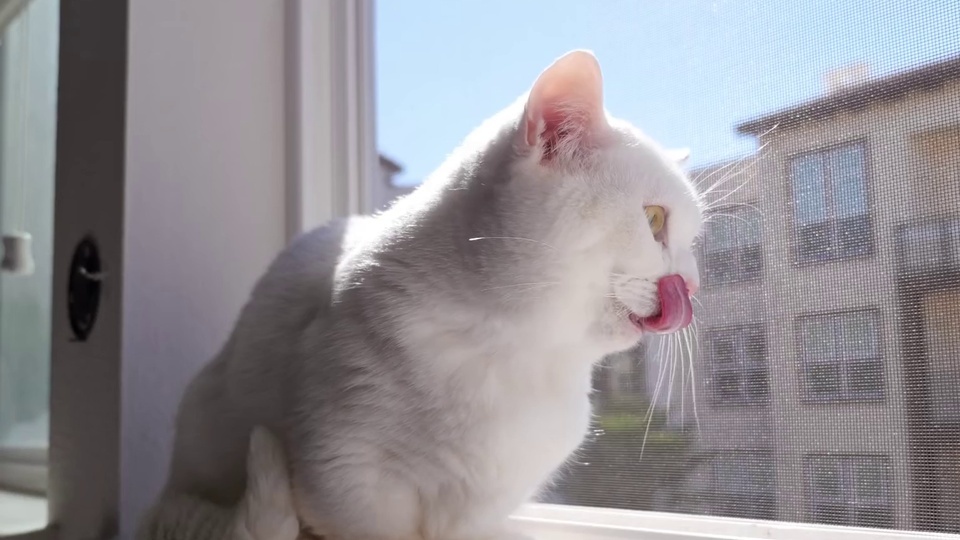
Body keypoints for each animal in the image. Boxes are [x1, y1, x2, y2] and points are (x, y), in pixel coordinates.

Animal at [163, 50, 696, 540]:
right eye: (654, 220)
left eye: (694, 240)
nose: (691, 283)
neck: (516, 357)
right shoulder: (347, 483)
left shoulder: (480, 510)